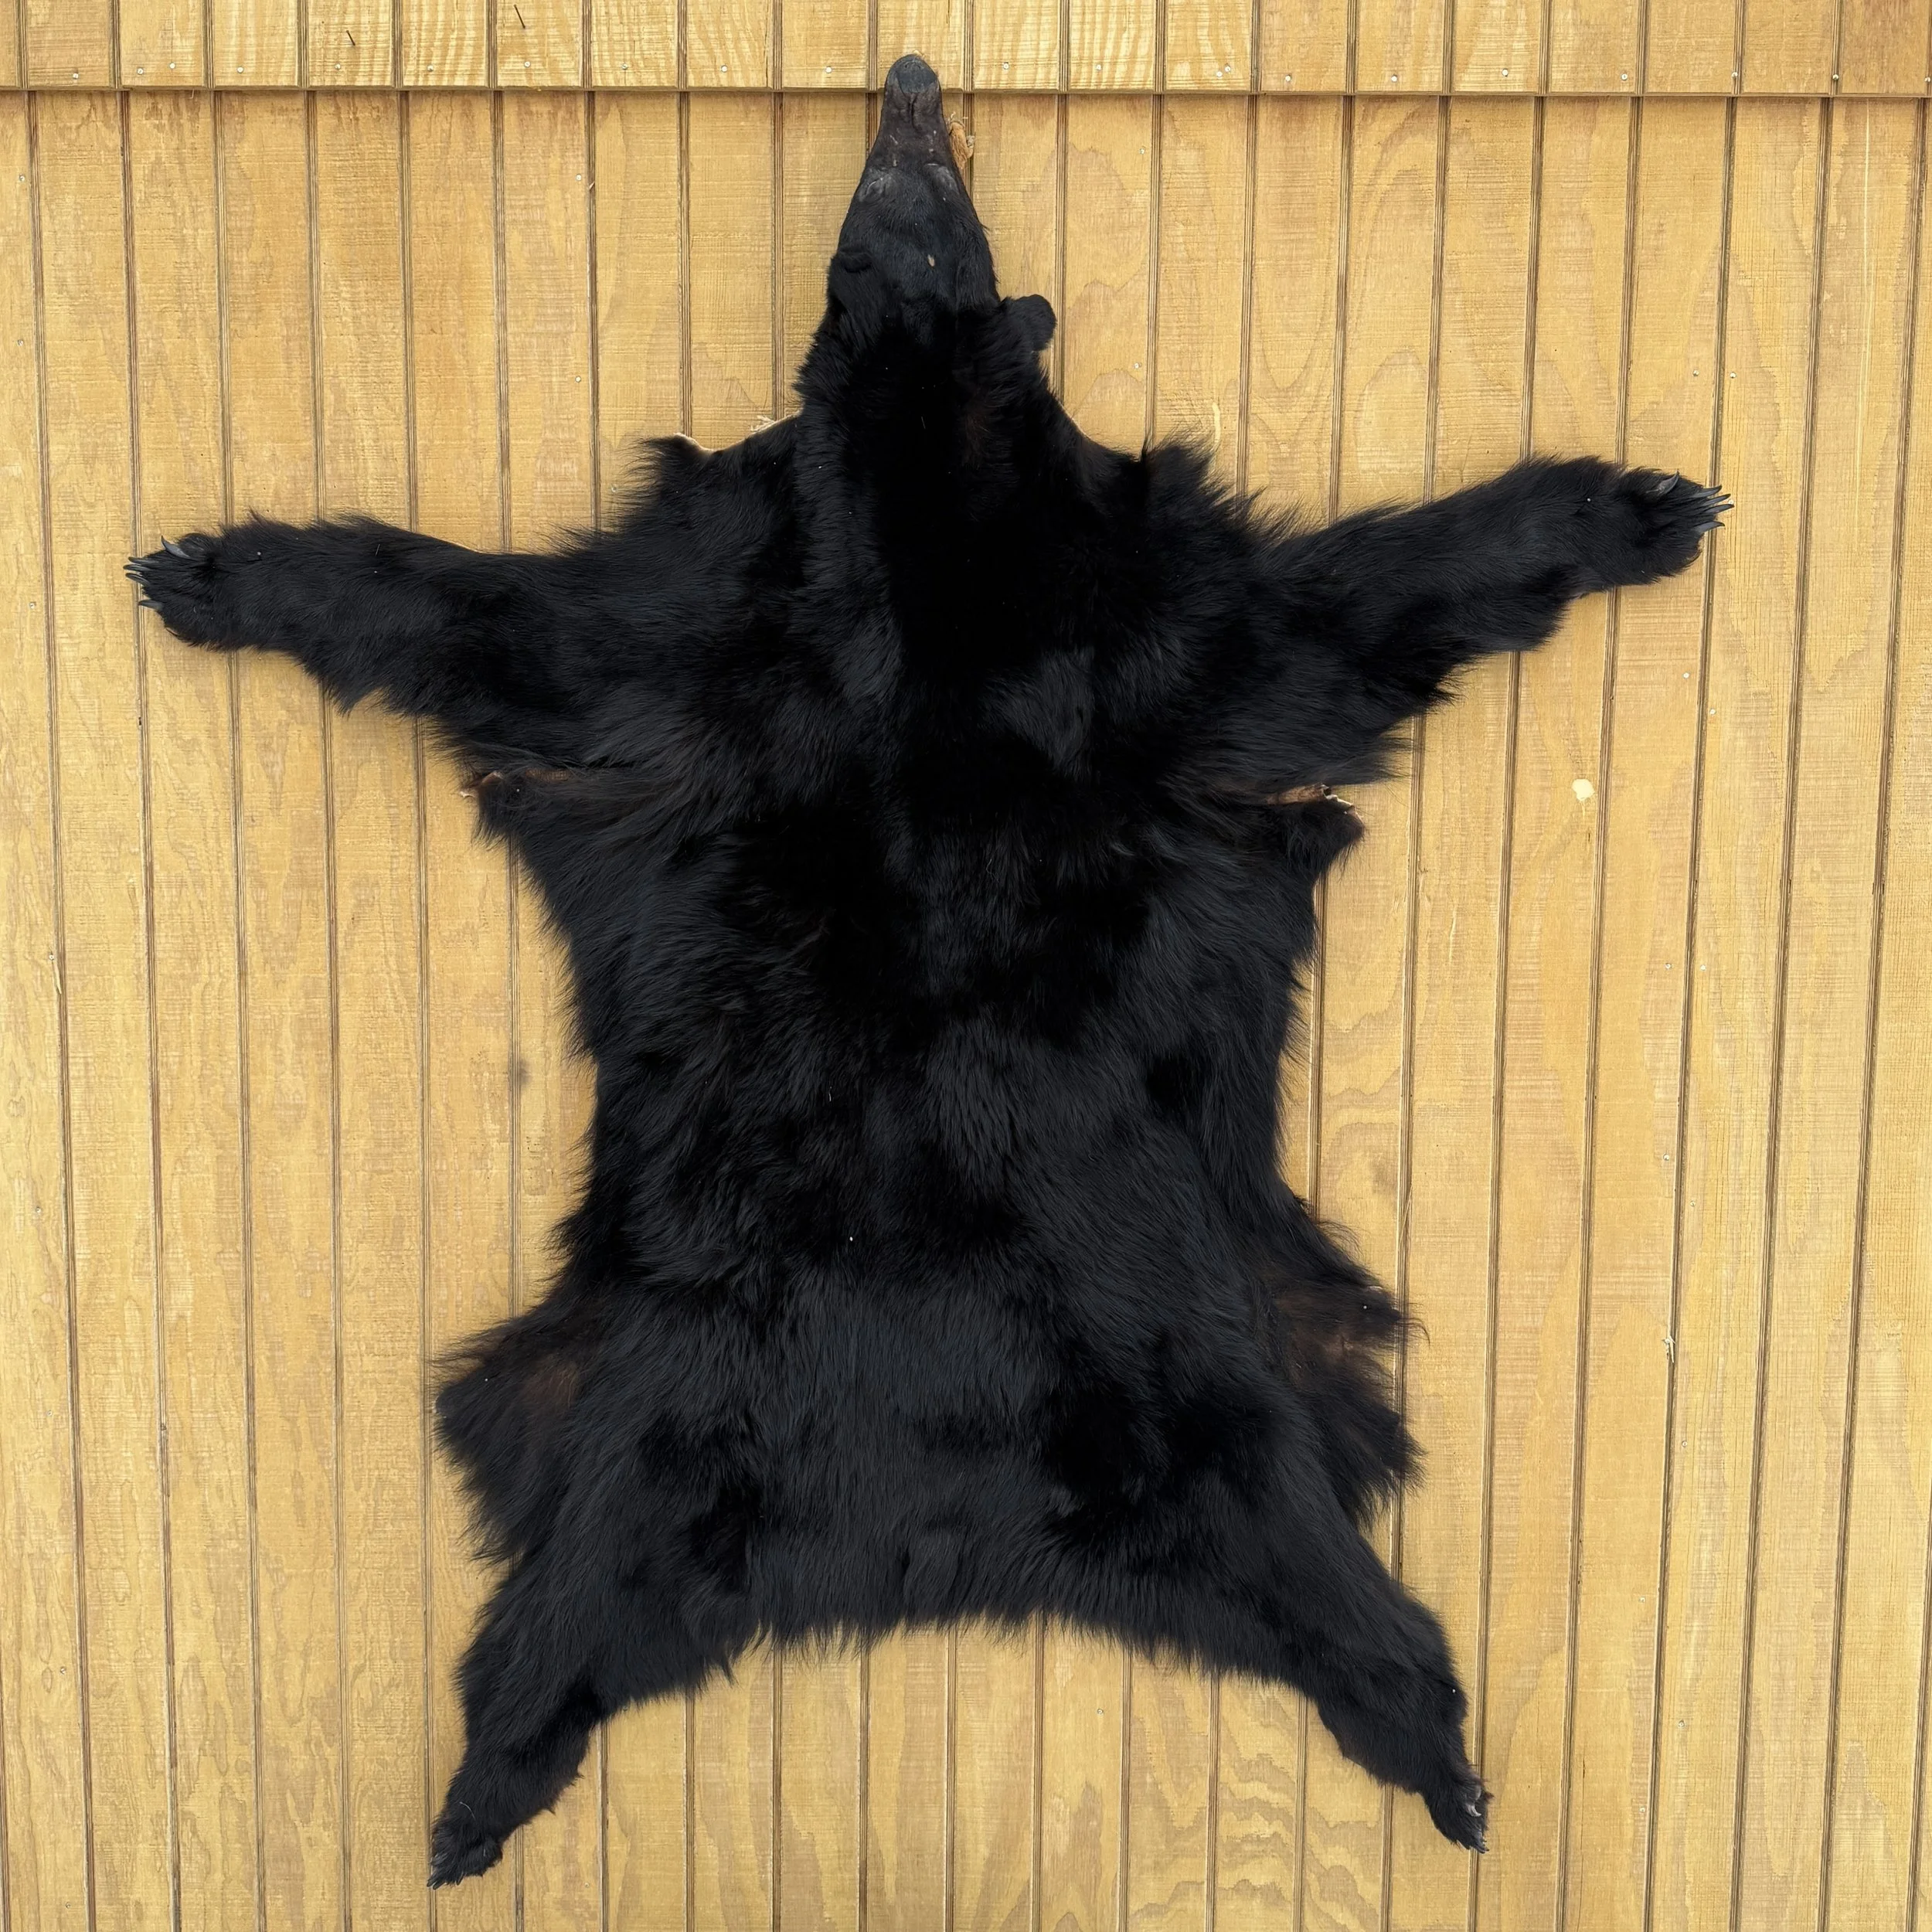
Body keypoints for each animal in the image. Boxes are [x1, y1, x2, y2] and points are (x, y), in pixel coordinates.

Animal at [129, 52, 1725, 1888]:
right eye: (880, 222)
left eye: (928, 205)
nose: (904, 81)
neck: (920, 532)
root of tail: (932, 1533)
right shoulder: (718, 641)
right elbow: (478, 619)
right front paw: (217, 571)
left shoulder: (1137, 640)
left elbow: (1369, 603)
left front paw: (1639, 507)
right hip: (652, 1420)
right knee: (565, 1598)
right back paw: (483, 1783)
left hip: (1214, 1403)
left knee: (1322, 1576)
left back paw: (1431, 1746)